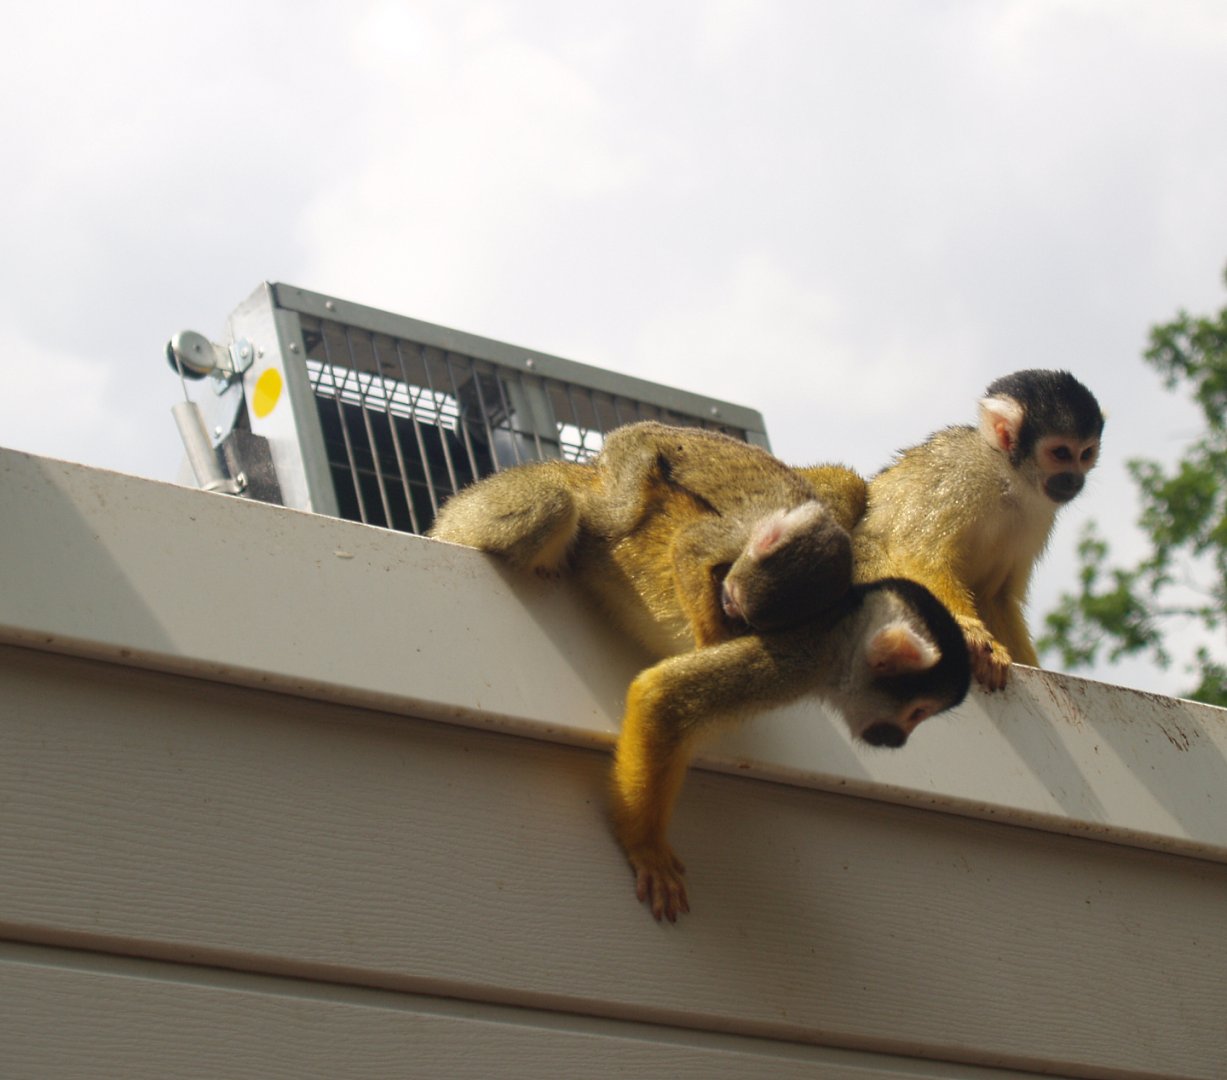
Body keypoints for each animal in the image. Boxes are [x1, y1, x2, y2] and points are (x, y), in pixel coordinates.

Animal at [429, 423, 971, 920]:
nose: (898, 739)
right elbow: (665, 696)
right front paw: (645, 847)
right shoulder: (795, 657)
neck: (838, 624)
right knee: (555, 505)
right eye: (916, 712)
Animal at [852, 369, 1104, 691]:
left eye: (1085, 454)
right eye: (1060, 453)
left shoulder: (1038, 516)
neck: (1007, 478)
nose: (1074, 480)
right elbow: (919, 555)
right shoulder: (960, 473)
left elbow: (996, 595)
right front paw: (970, 632)